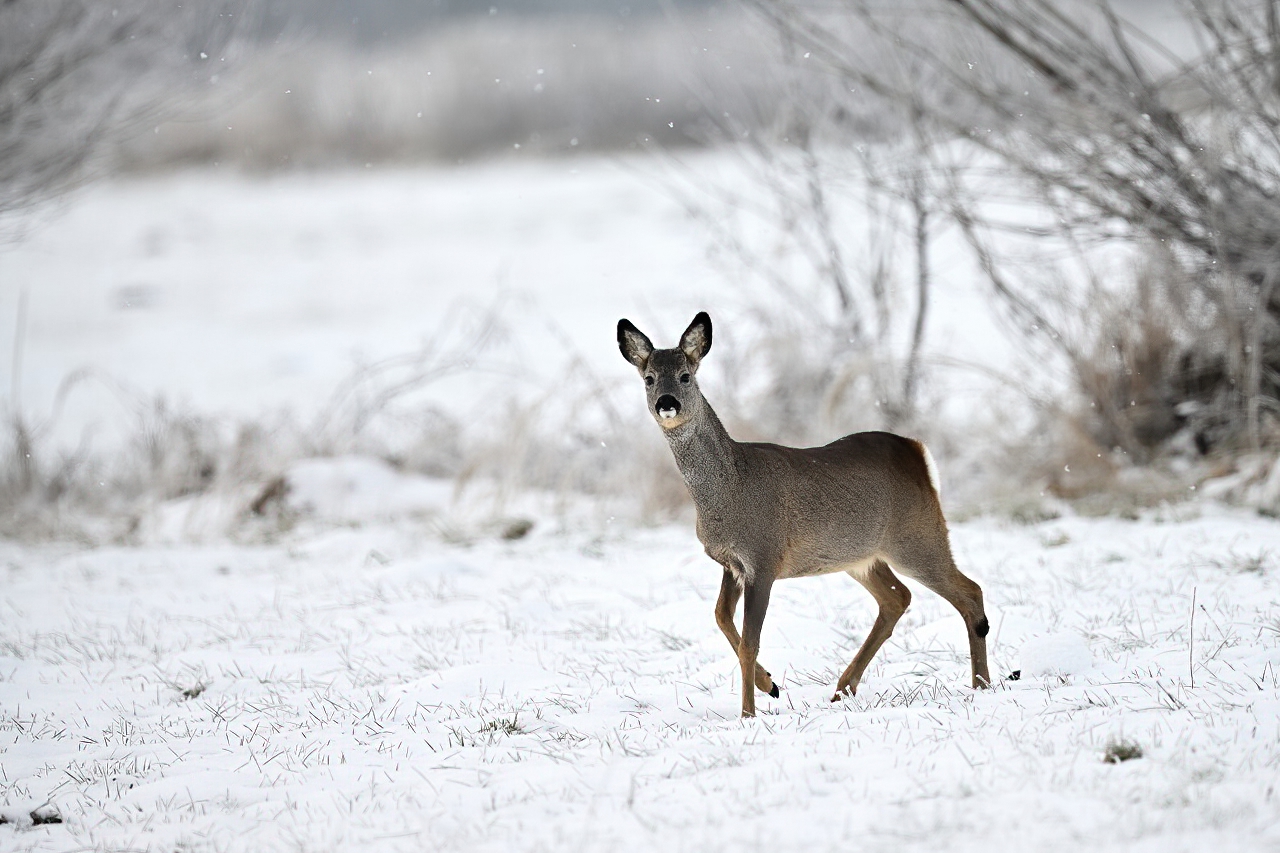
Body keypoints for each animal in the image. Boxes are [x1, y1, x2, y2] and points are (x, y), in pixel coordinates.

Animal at [616, 308, 988, 712]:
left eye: (686, 375)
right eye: (649, 379)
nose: (666, 403)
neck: (730, 488)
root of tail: (917, 452)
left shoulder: (764, 557)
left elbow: (749, 644)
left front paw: (749, 714)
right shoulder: (732, 563)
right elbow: (720, 617)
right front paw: (769, 684)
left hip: (917, 537)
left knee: (970, 592)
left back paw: (982, 686)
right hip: (861, 555)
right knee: (897, 597)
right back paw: (842, 689)